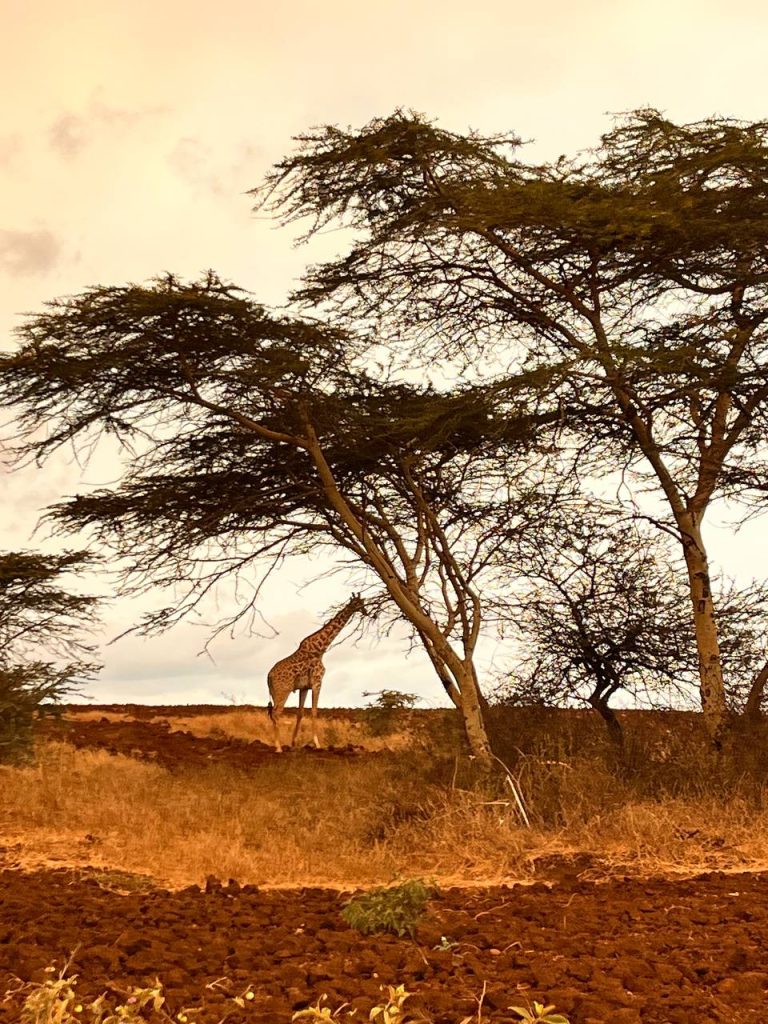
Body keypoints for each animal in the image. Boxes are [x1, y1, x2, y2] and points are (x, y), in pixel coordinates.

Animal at [266, 593, 365, 752]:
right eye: (358, 603)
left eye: (363, 602)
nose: (368, 612)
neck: (320, 650)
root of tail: (268, 676)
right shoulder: (317, 682)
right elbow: (314, 711)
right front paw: (318, 744)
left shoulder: (304, 687)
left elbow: (300, 713)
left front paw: (294, 743)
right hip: (283, 691)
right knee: (276, 713)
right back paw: (278, 747)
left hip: (275, 693)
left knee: (273, 715)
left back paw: (279, 745)